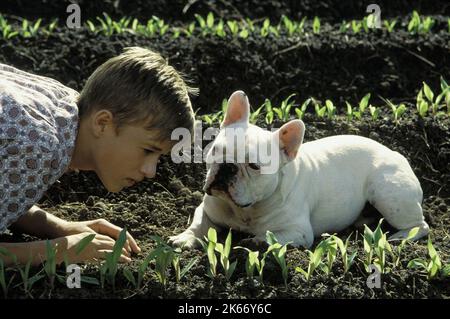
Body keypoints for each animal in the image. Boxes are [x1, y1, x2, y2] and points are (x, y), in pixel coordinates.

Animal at [169, 91, 428, 249]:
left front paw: (257, 240)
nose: (227, 167)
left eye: (253, 166)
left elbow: (273, 236)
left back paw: (400, 237)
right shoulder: (207, 210)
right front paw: (184, 238)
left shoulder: (299, 231)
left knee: (421, 225)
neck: (247, 210)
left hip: (388, 195)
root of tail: (395, 153)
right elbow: (198, 224)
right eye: (215, 150)